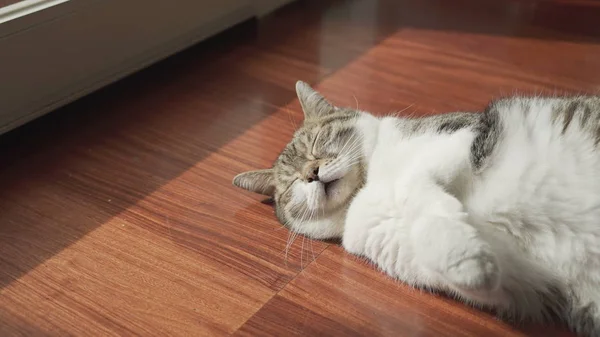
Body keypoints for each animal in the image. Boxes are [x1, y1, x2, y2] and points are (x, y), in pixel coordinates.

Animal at [232, 80, 600, 334]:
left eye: (318, 142)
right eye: (292, 183)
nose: (311, 174)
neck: (364, 189)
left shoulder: (456, 138)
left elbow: (411, 185)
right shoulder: (508, 277)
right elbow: (471, 270)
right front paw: (472, 261)